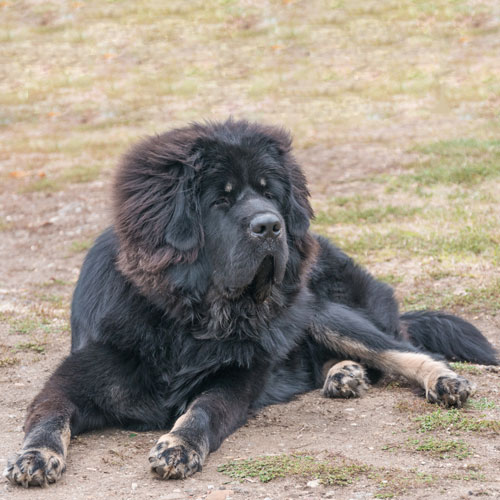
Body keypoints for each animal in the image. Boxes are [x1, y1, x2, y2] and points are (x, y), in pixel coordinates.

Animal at [3, 117, 496, 484]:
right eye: (220, 200)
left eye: (268, 192)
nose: (271, 225)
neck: (191, 320)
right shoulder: (75, 377)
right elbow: (49, 415)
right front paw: (34, 457)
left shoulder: (237, 378)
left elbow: (203, 409)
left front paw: (178, 446)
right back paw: (343, 374)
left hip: (320, 311)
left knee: (404, 350)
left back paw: (442, 381)